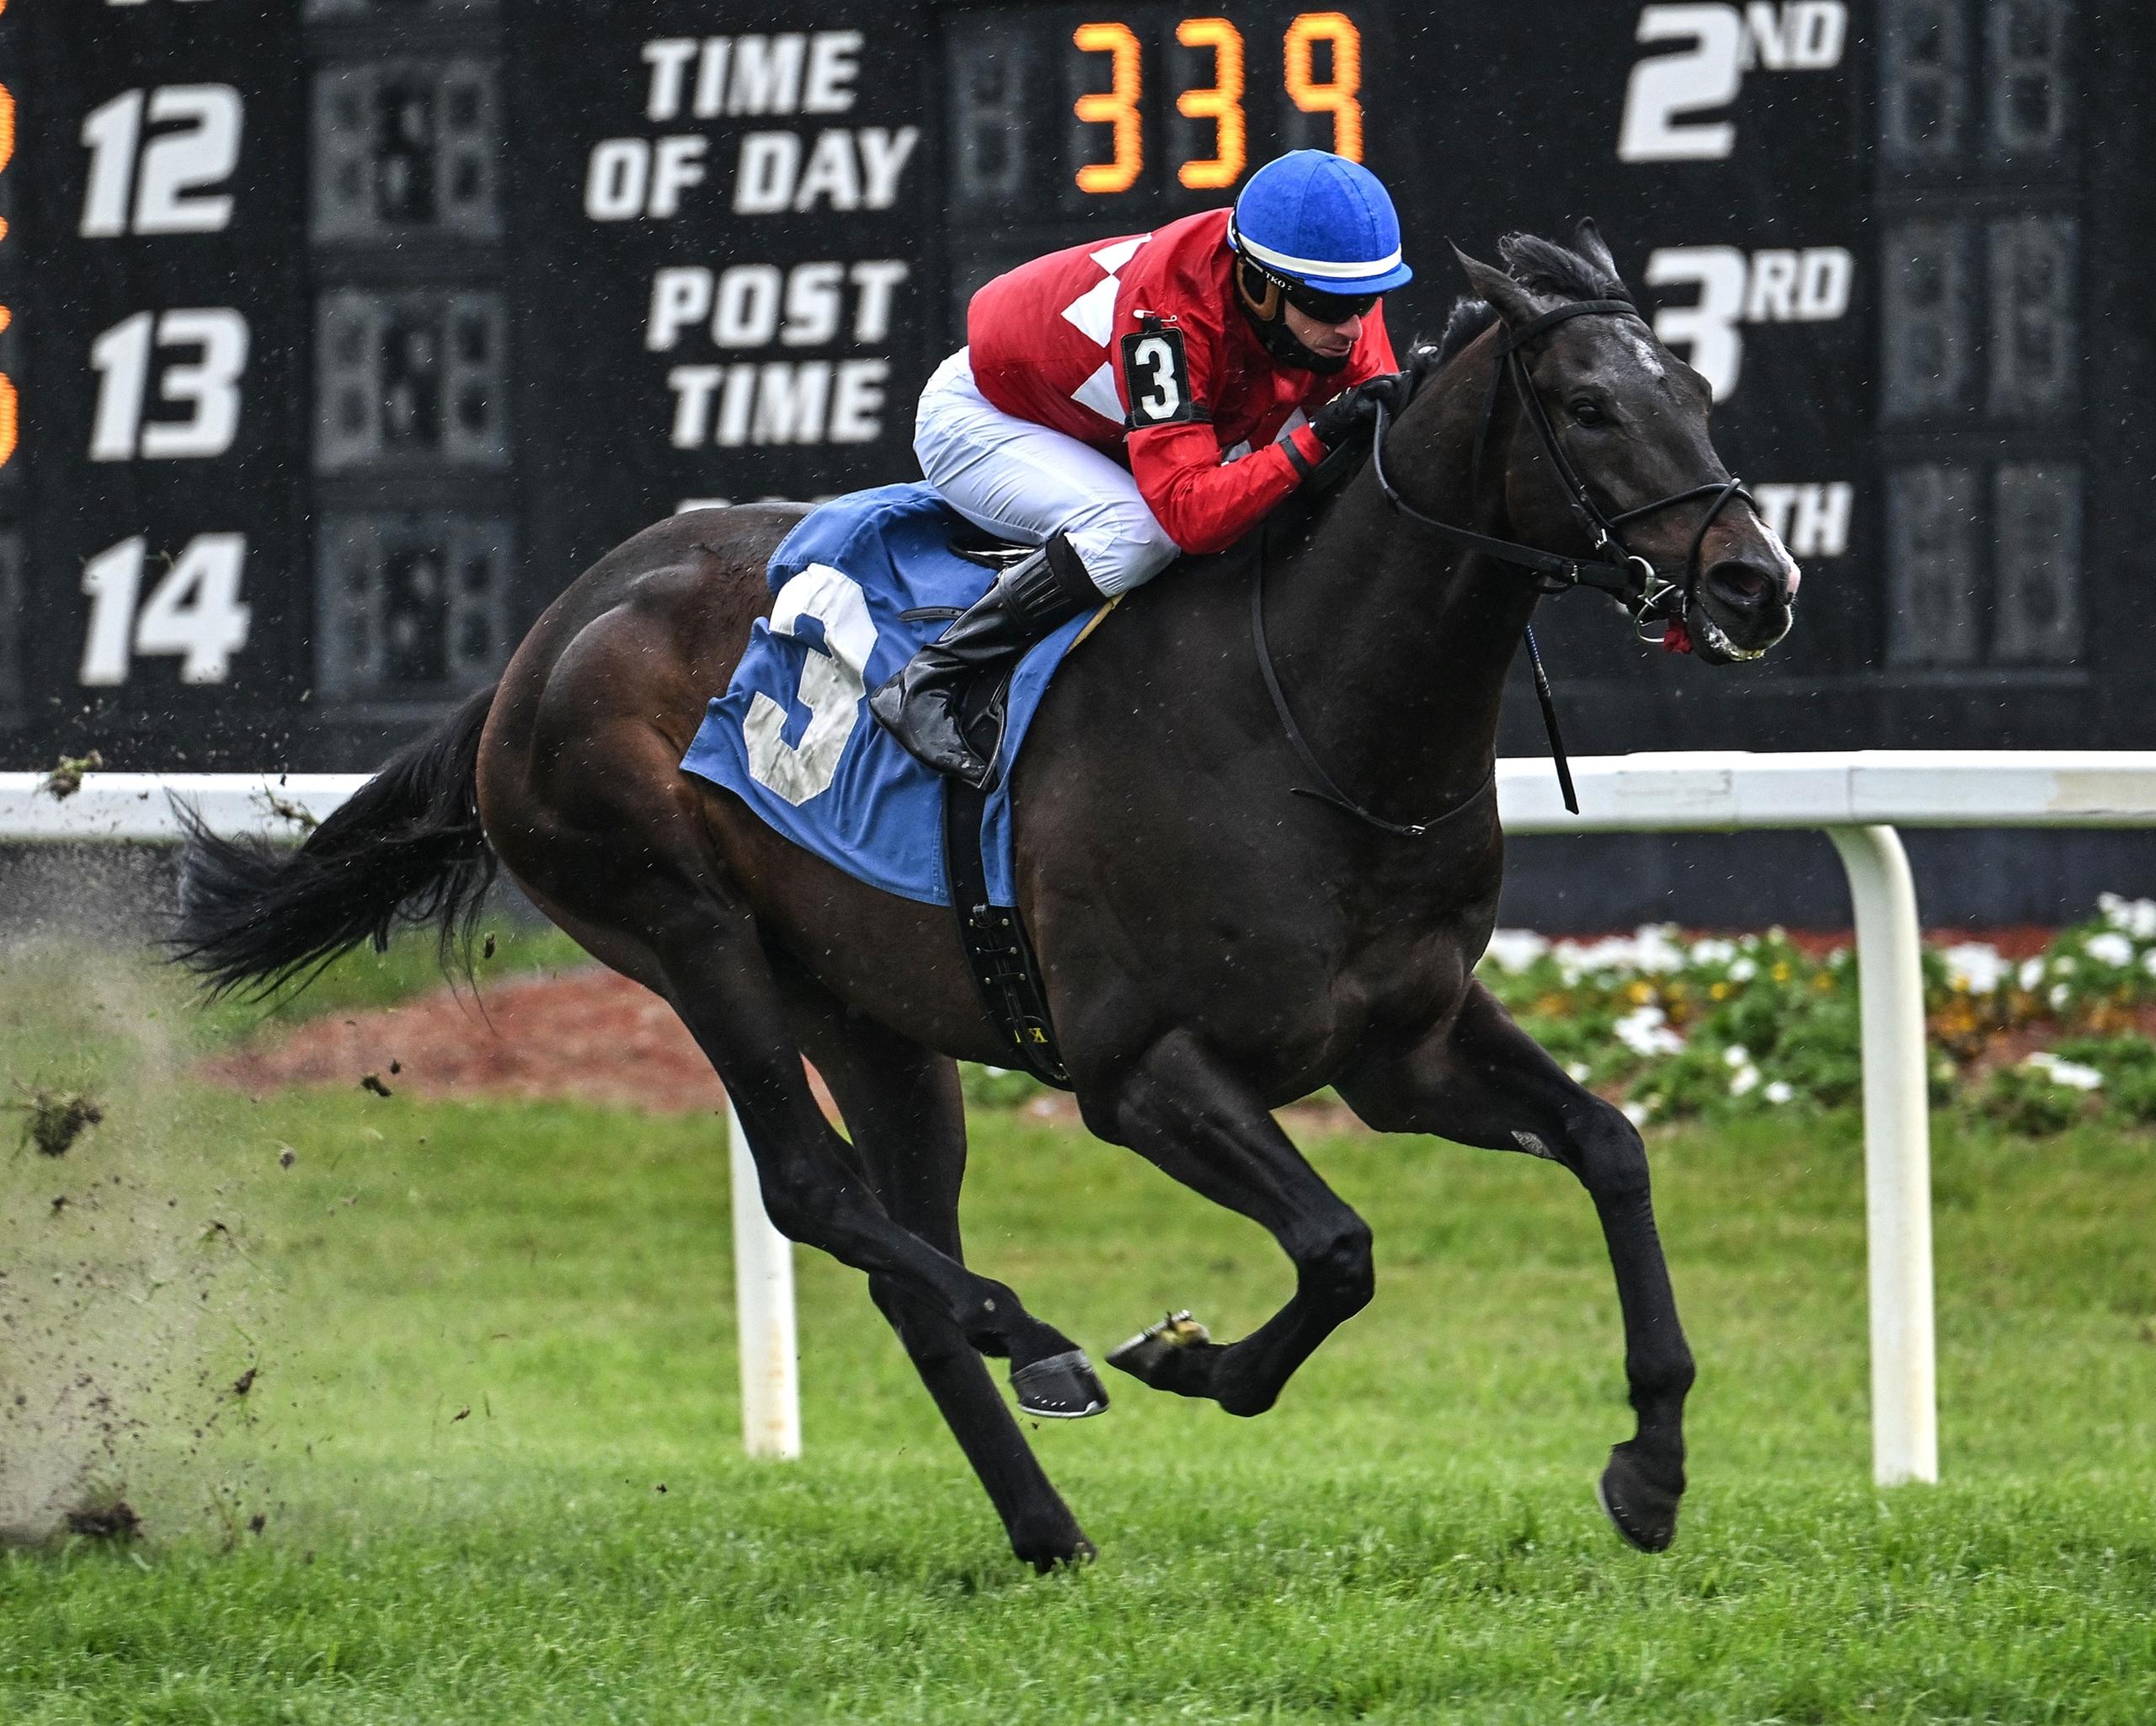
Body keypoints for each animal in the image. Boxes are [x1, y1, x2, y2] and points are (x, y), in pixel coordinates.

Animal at [175, 224, 1797, 1570]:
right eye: (1589, 408)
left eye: (1701, 389)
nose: (1755, 582)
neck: (1309, 714)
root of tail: (542, 636)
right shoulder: (1140, 1072)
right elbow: (1340, 1248)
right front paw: (1190, 1358)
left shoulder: (1407, 1043)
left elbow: (1610, 1146)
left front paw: (1652, 1468)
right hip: (682, 925)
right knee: (816, 1190)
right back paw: (1037, 1334)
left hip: (867, 1006)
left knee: (901, 1255)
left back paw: (1045, 1519)